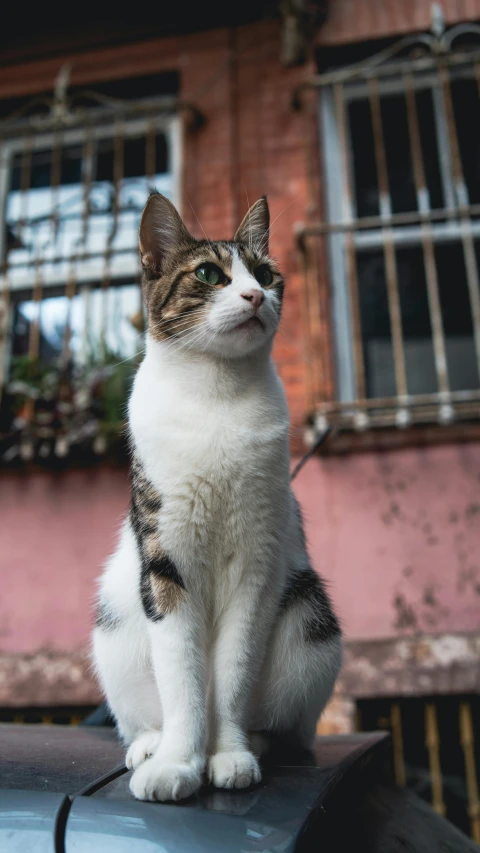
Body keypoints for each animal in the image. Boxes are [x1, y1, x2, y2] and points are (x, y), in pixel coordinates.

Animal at [93, 191, 342, 800]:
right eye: (209, 274)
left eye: (267, 274)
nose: (255, 295)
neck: (217, 395)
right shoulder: (166, 564)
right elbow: (183, 676)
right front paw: (178, 763)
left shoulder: (257, 563)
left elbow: (230, 673)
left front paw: (228, 755)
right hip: (115, 622)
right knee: (144, 710)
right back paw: (150, 745)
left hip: (310, 621)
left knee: (288, 727)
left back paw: (261, 744)